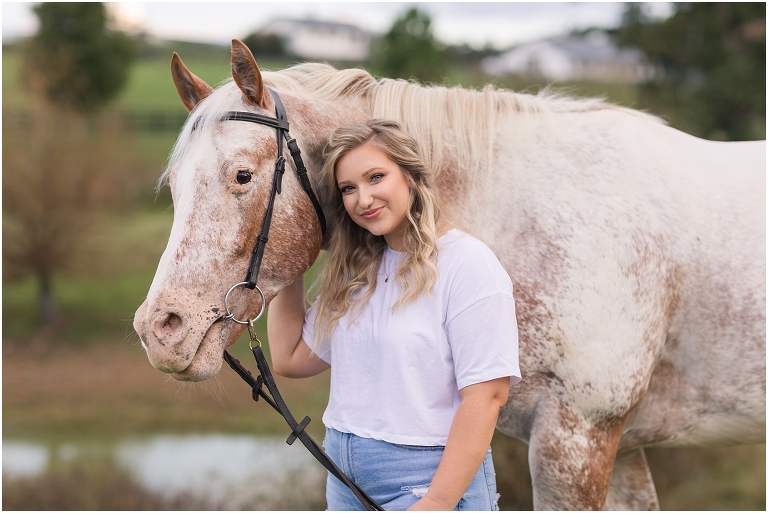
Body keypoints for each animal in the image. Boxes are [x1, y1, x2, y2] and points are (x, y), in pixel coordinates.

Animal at [133, 40, 766, 510]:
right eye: (174, 187)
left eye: (242, 175)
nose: (159, 330)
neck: (520, 219)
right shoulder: (622, 448)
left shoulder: (579, 439)